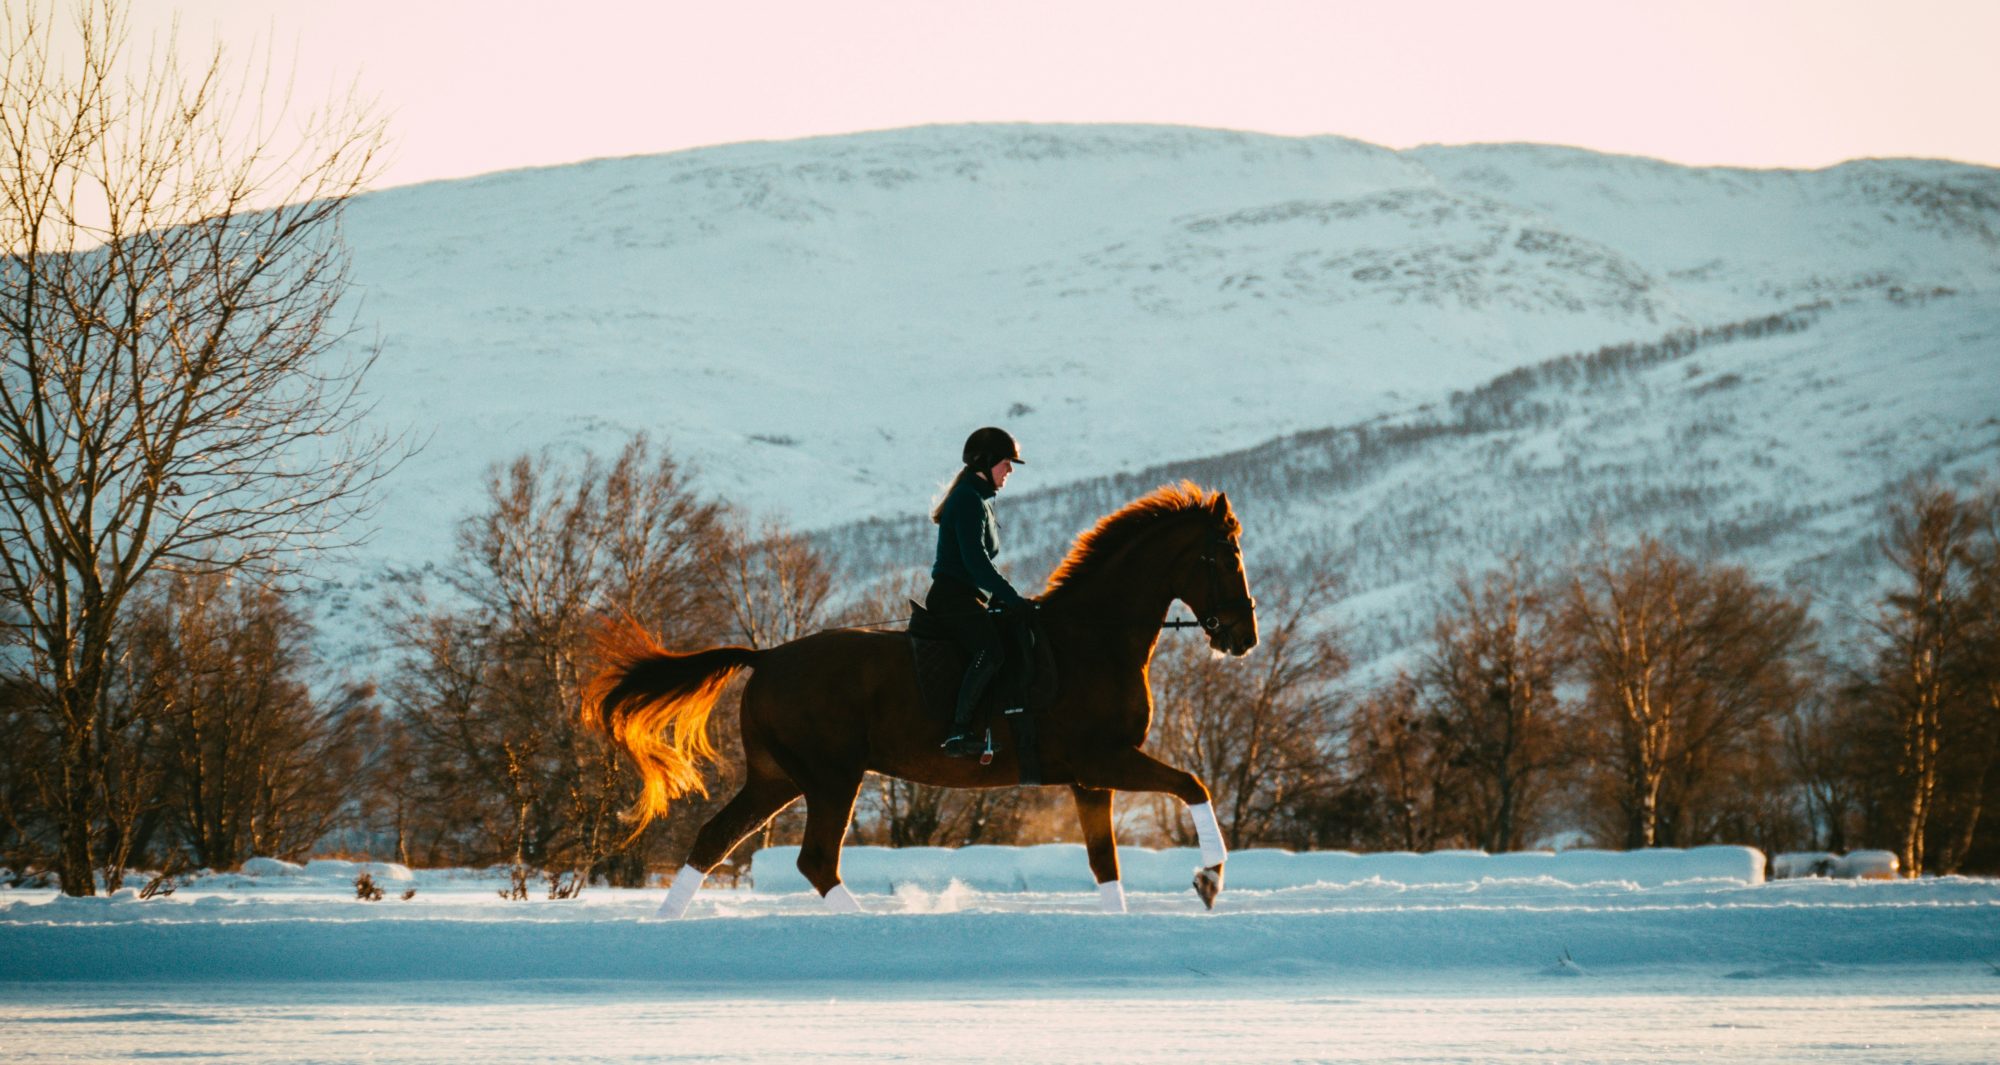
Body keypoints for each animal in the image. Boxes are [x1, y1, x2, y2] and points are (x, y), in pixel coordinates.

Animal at [583, 481, 1258, 917]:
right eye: (1225, 555)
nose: (1243, 636)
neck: (1091, 640)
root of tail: (768, 657)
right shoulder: (1104, 760)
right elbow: (1194, 786)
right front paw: (1208, 879)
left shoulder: (1090, 779)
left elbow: (1105, 864)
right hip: (830, 776)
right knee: (815, 861)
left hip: (777, 776)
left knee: (713, 840)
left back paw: (664, 925)